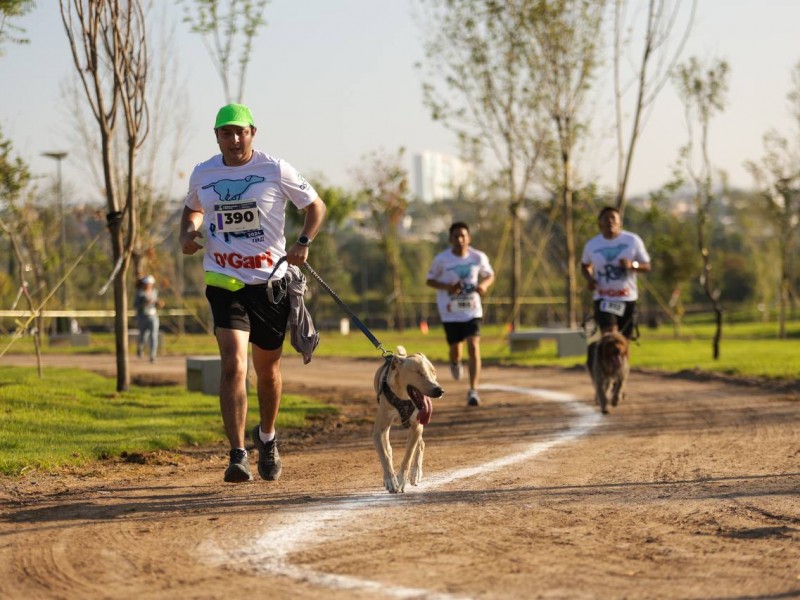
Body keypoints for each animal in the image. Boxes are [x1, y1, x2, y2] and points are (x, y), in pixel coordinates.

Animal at [374, 346, 444, 492]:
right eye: (419, 372)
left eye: (434, 372)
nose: (440, 390)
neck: (403, 397)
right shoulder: (379, 431)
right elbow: (384, 455)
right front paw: (390, 479)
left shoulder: (416, 427)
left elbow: (408, 456)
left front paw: (401, 480)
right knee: (388, 448)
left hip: (418, 427)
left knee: (421, 444)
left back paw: (416, 473)